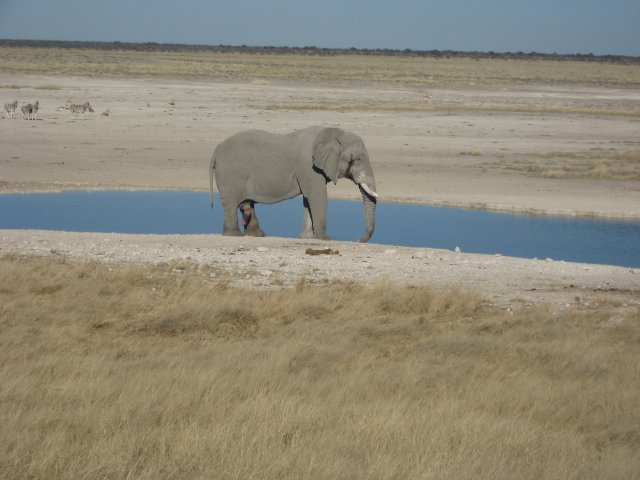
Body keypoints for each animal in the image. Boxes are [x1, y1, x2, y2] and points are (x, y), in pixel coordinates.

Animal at [210, 125, 378, 242]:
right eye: (357, 159)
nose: (358, 239)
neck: (333, 132)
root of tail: (215, 151)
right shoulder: (308, 166)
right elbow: (317, 196)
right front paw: (324, 239)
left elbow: (308, 199)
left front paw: (306, 238)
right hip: (230, 174)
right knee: (232, 204)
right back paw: (234, 235)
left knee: (246, 205)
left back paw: (257, 235)